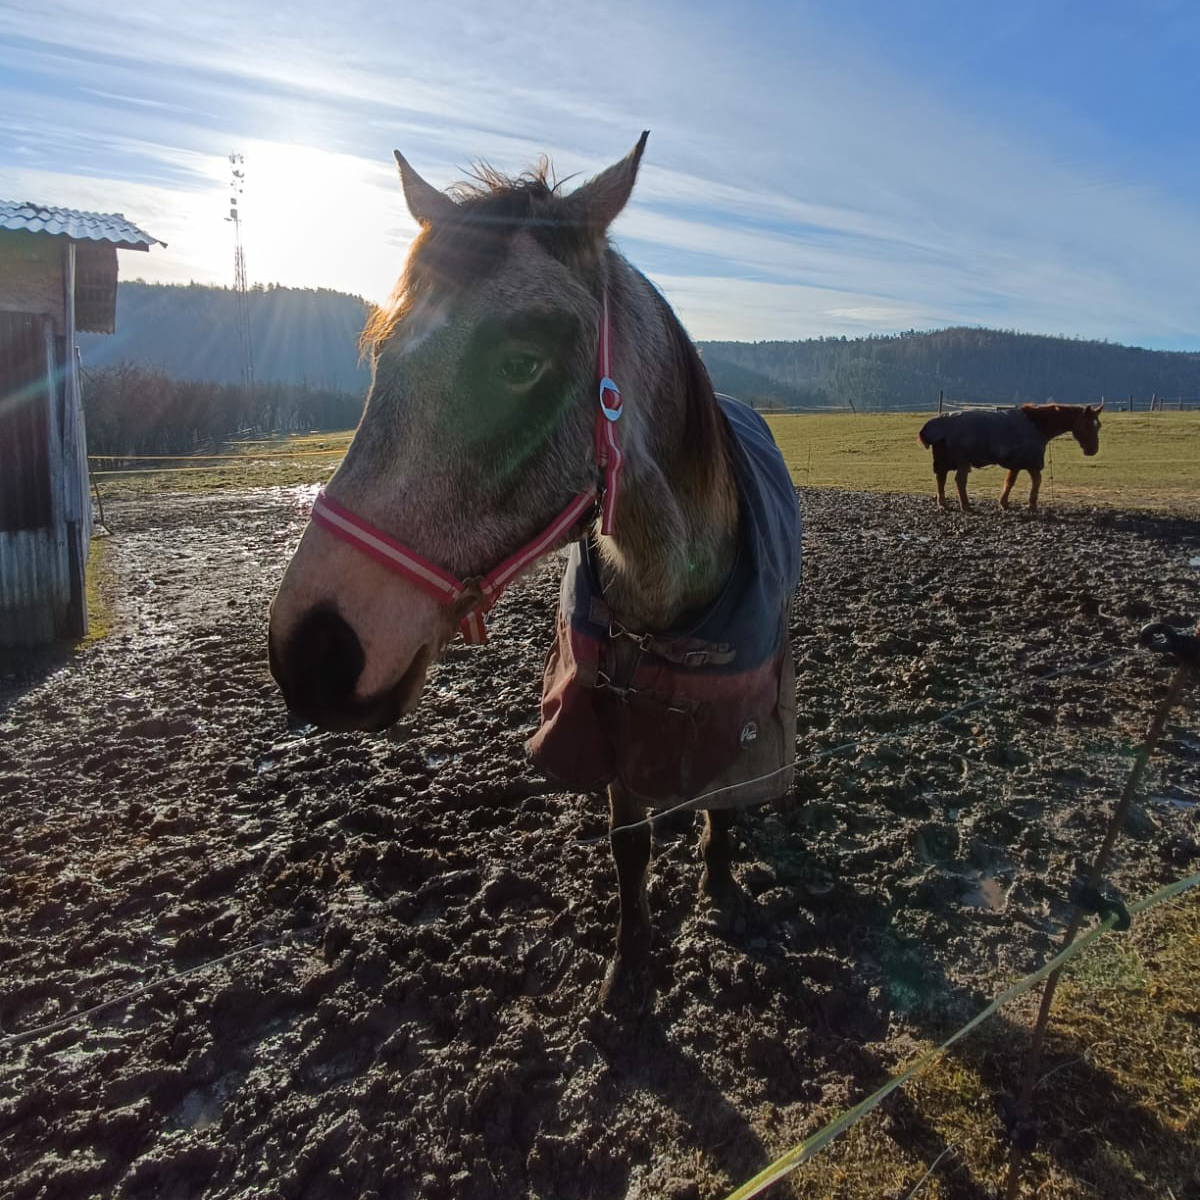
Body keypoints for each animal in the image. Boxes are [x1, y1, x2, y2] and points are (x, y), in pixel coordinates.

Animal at [267, 133, 801, 1012]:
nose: (312, 653)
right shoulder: (602, 713)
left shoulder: (742, 711)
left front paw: (717, 885)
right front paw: (630, 965)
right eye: (381, 353)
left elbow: (723, 801)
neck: (664, 597)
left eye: (522, 362)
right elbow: (628, 841)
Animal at [916, 400, 1104, 513]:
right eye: (1088, 424)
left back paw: (943, 503)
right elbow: (1037, 481)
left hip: (944, 460)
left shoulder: (1016, 463)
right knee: (959, 480)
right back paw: (966, 505)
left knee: (941, 478)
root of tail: (938, 423)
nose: (1093, 450)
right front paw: (1032, 505)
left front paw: (1004, 503)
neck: (1038, 424)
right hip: (962, 460)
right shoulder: (1030, 462)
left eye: (1099, 425)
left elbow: (1010, 482)